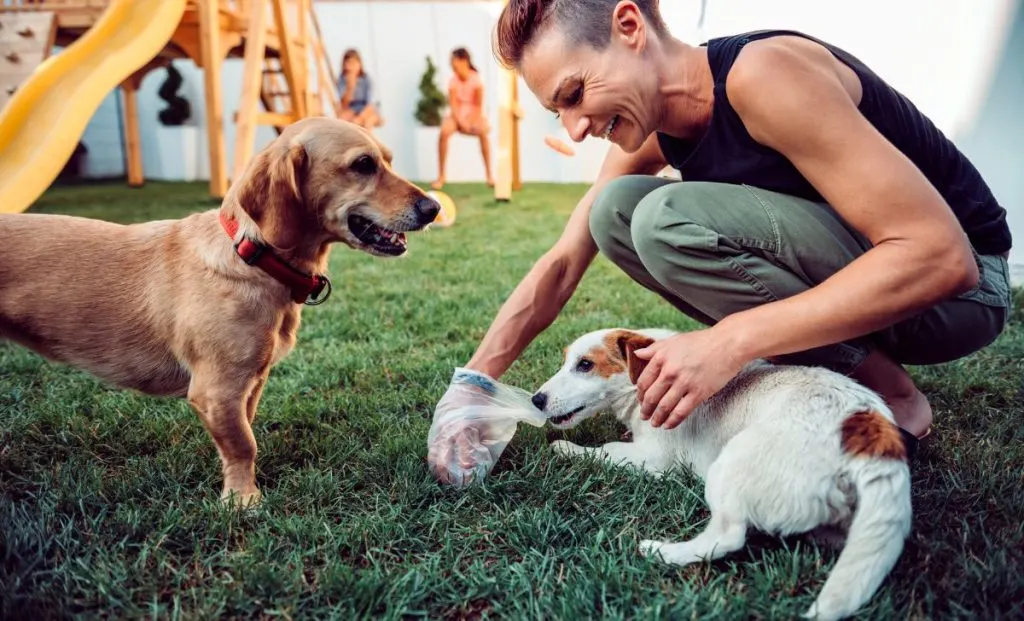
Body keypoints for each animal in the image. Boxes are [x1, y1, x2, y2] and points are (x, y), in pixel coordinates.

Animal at [0, 119, 436, 508]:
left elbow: (242, 434)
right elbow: (244, 444)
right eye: (363, 164)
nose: (433, 207)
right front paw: (242, 500)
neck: (253, 257)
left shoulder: (248, 386)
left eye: (388, 160)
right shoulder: (217, 390)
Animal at [532, 327, 917, 618]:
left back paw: (662, 552)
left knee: (728, 537)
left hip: (728, 467)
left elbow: (606, 450)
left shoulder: (654, 460)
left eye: (585, 365)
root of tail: (873, 437)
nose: (536, 399)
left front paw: (566, 448)